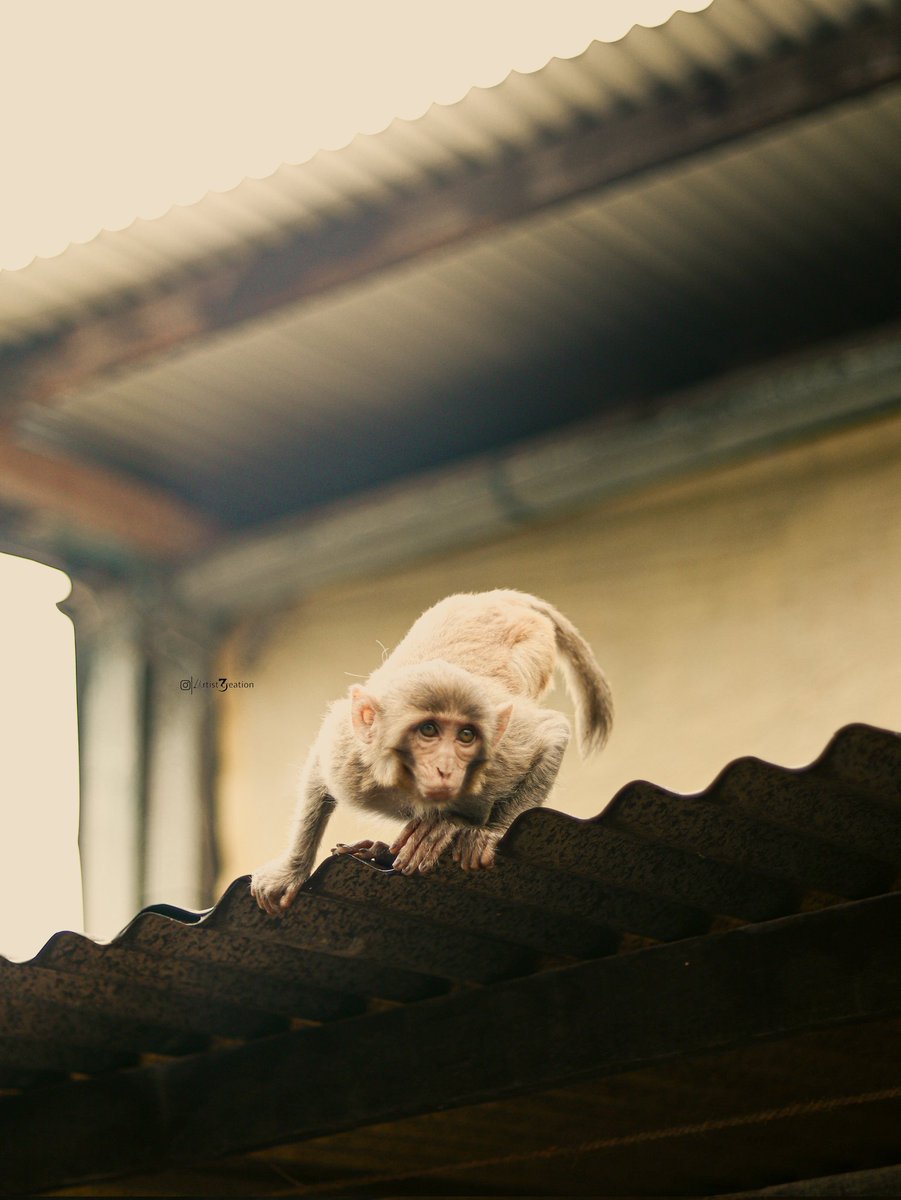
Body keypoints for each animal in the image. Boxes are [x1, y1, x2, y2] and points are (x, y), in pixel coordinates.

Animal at [251, 589, 612, 916]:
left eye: (465, 736)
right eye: (428, 731)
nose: (446, 766)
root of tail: (497, 596)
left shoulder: (498, 756)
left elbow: (552, 733)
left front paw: (484, 833)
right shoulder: (349, 756)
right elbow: (319, 768)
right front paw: (291, 871)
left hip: (533, 643)